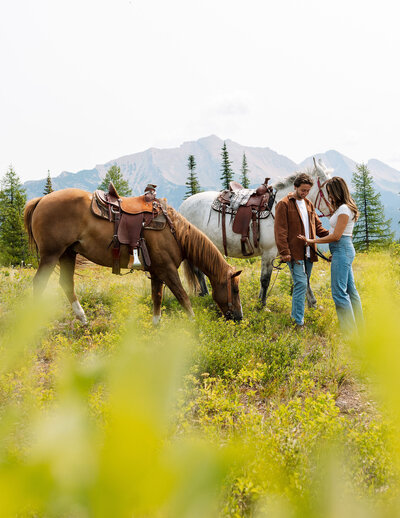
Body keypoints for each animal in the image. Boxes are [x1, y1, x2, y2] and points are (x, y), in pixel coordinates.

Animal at [24, 189, 244, 322]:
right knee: (39, 283)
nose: (239, 317)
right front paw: (194, 325)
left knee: (67, 283)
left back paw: (83, 319)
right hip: (51, 255)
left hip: (68, 254)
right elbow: (183, 297)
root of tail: (41, 200)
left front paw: (156, 327)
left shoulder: (157, 272)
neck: (175, 232)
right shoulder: (168, 270)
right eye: (235, 289)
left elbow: (157, 299)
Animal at [178, 158, 332, 308]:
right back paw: (205, 295)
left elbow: (302, 277)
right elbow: (265, 279)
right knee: (198, 271)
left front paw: (313, 303)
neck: (277, 208)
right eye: (329, 187)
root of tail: (183, 206)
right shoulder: (269, 252)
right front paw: (261, 305)